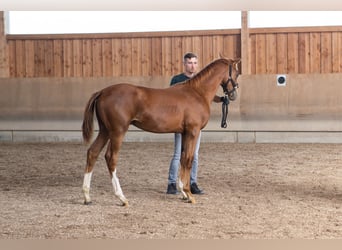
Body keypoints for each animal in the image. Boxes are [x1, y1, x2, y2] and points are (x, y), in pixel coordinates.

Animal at [82, 57, 240, 206]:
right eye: (237, 73)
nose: (233, 95)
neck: (197, 92)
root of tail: (102, 92)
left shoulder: (184, 133)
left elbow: (182, 158)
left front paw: (183, 192)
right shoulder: (193, 131)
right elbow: (188, 159)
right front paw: (189, 194)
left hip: (105, 131)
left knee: (92, 153)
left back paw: (87, 196)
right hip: (117, 132)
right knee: (111, 157)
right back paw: (121, 198)